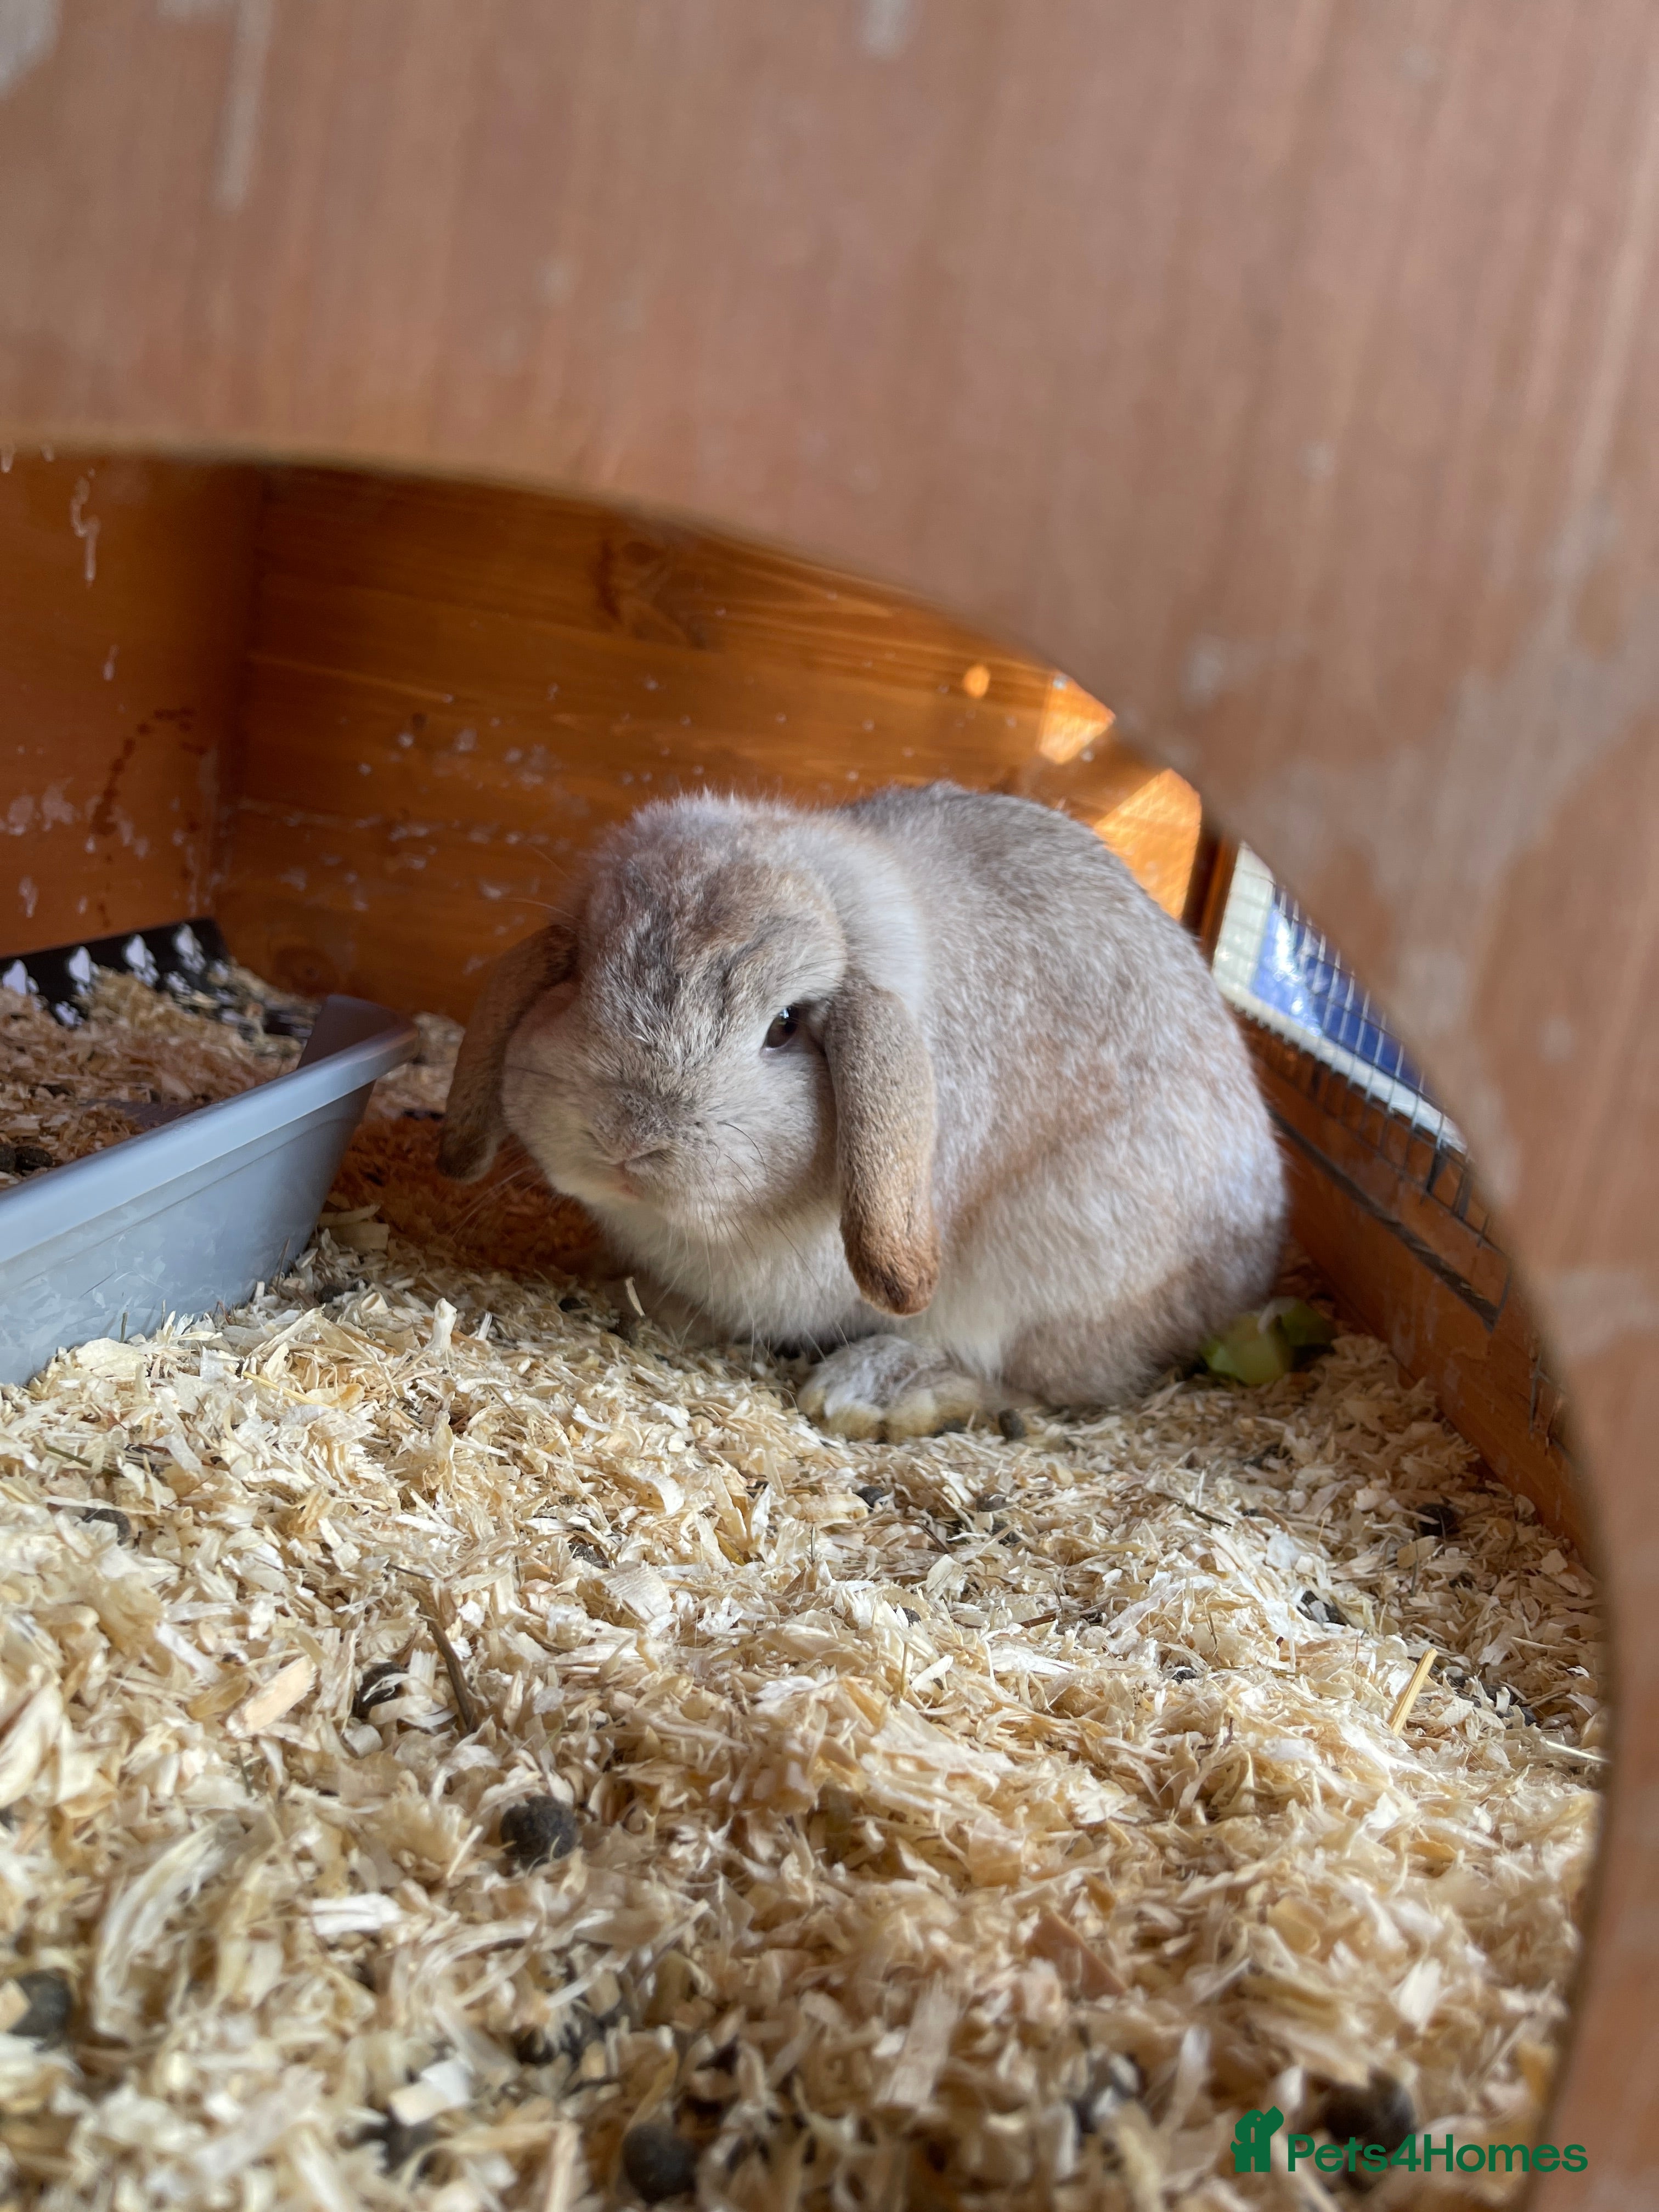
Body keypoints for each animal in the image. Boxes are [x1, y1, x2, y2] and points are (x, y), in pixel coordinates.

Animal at [439, 782, 1285, 1439]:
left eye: (785, 1025)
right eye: (580, 973)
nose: (628, 1139)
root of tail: (1249, 1274)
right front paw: (635, 1301)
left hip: (1058, 1267)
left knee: (1025, 1378)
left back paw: (878, 1393)